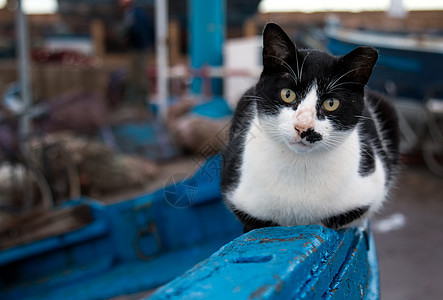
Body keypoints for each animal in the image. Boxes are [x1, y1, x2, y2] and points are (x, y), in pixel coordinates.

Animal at [222, 23, 402, 232]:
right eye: (288, 94)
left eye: (331, 103)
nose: (303, 127)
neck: (300, 166)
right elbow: (260, 224)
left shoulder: (369, 189)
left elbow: (333, 220)